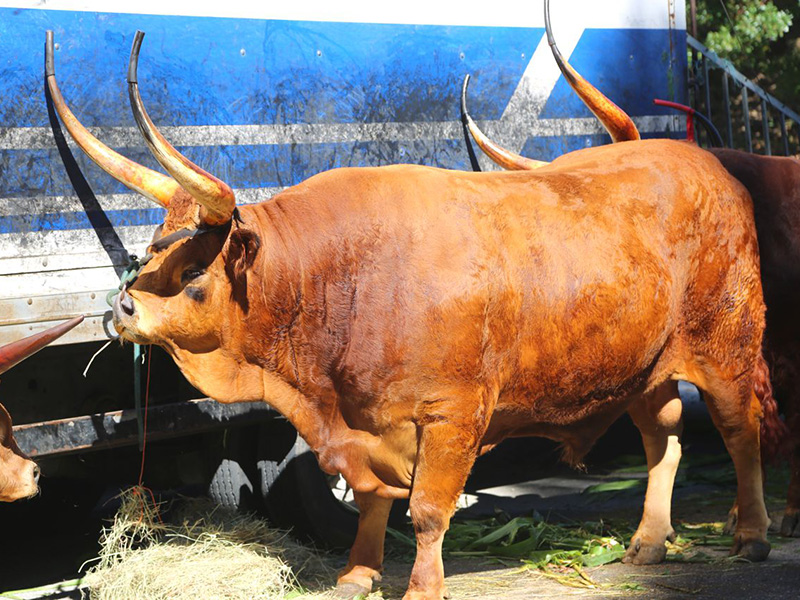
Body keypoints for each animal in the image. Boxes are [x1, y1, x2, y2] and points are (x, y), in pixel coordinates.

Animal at [47, 31, 772, 600]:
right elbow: (370, 496)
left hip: (728, 348)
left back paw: (753, 535)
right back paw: (649, 542)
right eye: (153, 247)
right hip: (644, 368)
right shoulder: (363, 424)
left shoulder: (454, 415)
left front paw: (422, 586)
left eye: (195, 269)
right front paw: (358, 573)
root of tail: (702, 162)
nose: (122, 306)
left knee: (740, 433)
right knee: (663, 439)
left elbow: (425, 509)